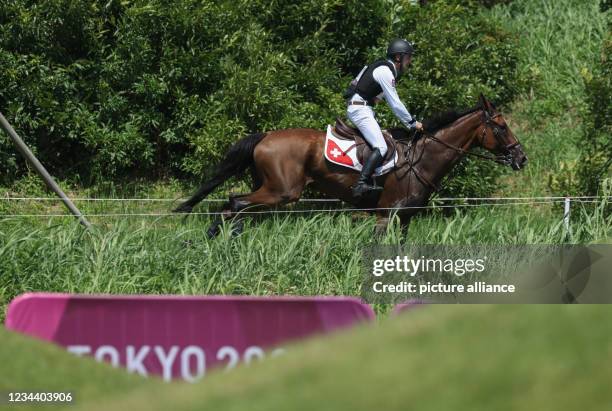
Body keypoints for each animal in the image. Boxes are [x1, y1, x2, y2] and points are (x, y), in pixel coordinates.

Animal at [175, 93, 528, 237]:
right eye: (501, 126)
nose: (521, 158)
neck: (423, 158)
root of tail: (266, 136)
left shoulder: (404, 219)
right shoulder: (386, 216)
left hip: (268, 187)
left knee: (236, 206)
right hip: (282, 191)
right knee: (235, 202)